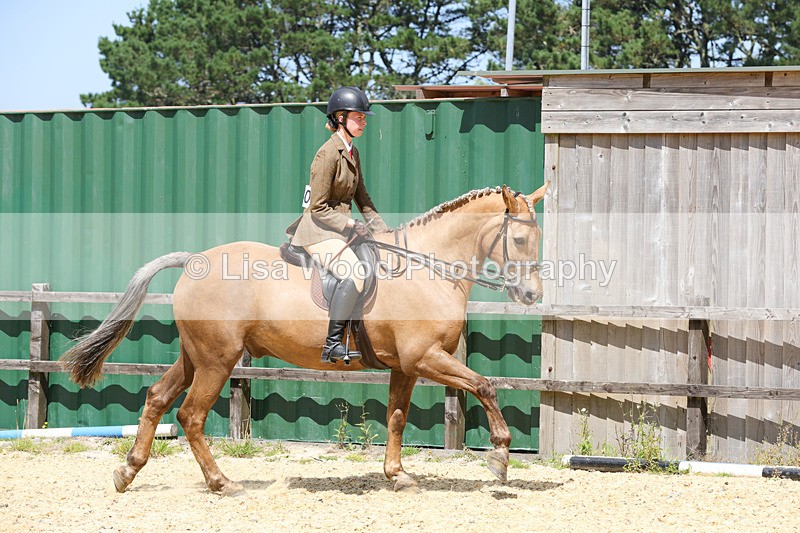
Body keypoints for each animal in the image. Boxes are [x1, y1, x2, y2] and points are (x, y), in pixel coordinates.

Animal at [60, 182, 549, 496]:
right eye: (520, 238)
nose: (531, 295)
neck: (425, 269)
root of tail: (195, 260)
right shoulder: (426, 357)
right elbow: (485, 385)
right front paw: (500, 458)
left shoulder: (406, 366)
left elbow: (395, 418)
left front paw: (397, 475)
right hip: (218, 360)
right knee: (191, 416)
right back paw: (222, 483)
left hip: (196, 355)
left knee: (158, 398)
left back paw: (128, 472)